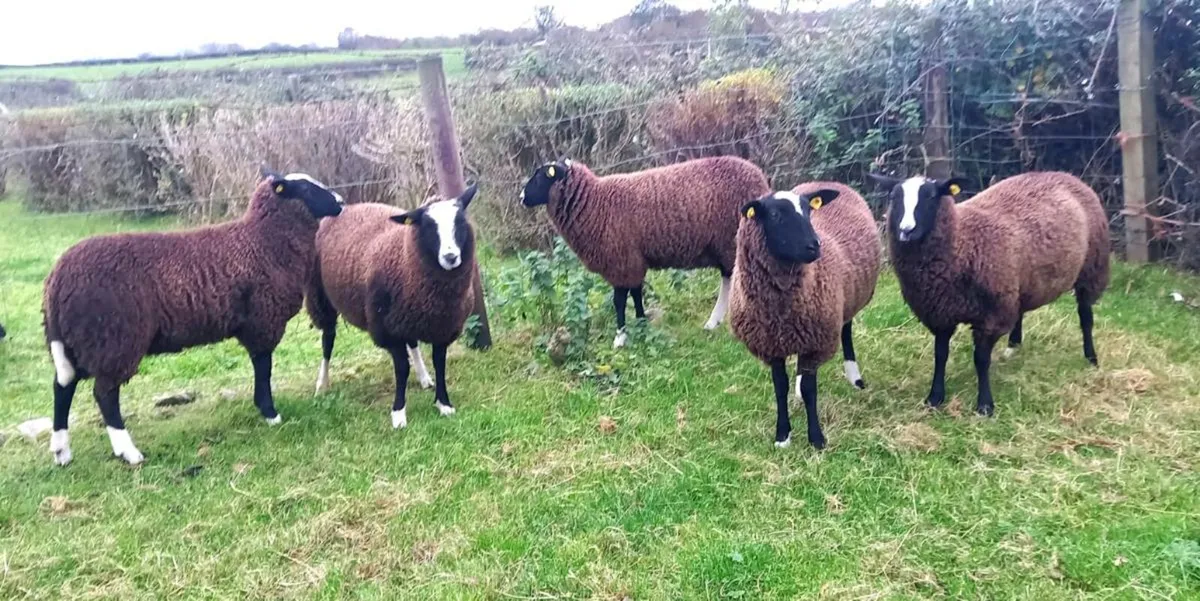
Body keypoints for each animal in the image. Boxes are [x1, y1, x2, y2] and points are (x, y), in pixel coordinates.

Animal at [42, 168, 344, 466]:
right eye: (305, 188)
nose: (340, 202)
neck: (263, 240)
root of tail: (57, 281)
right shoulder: (262, 320)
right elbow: (264, 368)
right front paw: (270, 413)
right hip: (113, 338)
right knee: (104, 393)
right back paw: (129, 452)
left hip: (79, 342)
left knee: (63, 386)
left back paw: (62, 451)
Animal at [305, 183, 479, 429]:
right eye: (428, 227)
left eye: (460, 222)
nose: (451, 257)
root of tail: (345, 207)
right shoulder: (387, 331)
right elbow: (401, 369)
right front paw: (398, 414)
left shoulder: (441, 327)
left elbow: (439, 363)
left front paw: (444, 404)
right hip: (321, 298)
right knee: (327, 341)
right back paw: (322, 384)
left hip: (405, 317)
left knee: (413, 343)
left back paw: (424, 377)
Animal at [520, 156, 772, 348]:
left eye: (542, 176)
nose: (521, 197)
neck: (596, 202)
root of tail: (759, 179)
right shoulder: (633, 260)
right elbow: (636, 294)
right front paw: (642, 325)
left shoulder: (621, 261)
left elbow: (619, 301)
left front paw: (620, 338)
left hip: (734, 241)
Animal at [729, 182, 880, 449]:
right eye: (775, 215)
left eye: (809, 211)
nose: (814, 245)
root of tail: (832, 181)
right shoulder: (771, 345)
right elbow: (780, 387)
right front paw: (782, 436)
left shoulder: (815, 343)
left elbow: (811, 391)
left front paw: (816, 438)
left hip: (845, 302)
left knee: (846, 330)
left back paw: (854, 377)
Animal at [868, 171, 1110, 416]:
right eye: (894, 197)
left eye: (931, 196)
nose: (906, 230)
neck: (963, 241)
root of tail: (1065, 175)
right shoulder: (941, 313)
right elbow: (940, 355)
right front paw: (935, 397)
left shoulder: (991, 316)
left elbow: (981, 360)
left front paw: (985, 405)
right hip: (1018, 283)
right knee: (1020, 310)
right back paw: (1013, 346)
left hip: (1091, 267)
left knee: (1085, 316)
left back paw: (1091, 357)